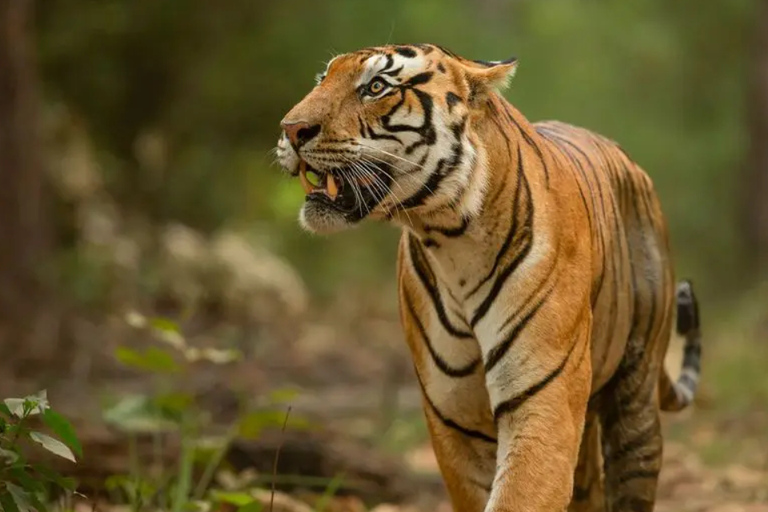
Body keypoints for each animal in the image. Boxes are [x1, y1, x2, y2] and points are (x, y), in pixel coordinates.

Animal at [274, 45, 704, 512]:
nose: (291, 129)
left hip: (635, 399)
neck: (450, 236)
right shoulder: (455, 415)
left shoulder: (542, 397)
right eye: (323, 78)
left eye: (375, 87)